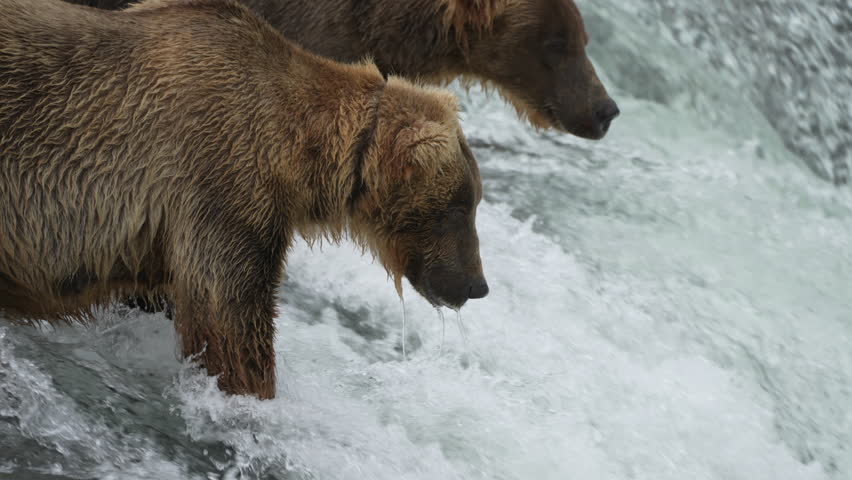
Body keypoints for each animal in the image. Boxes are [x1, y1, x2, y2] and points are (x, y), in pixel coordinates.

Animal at [0, 0, 488, 399]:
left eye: (473, 201)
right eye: (460, 206)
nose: (477, 285)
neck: (298, 151)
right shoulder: (222, 181)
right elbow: (229, 314)